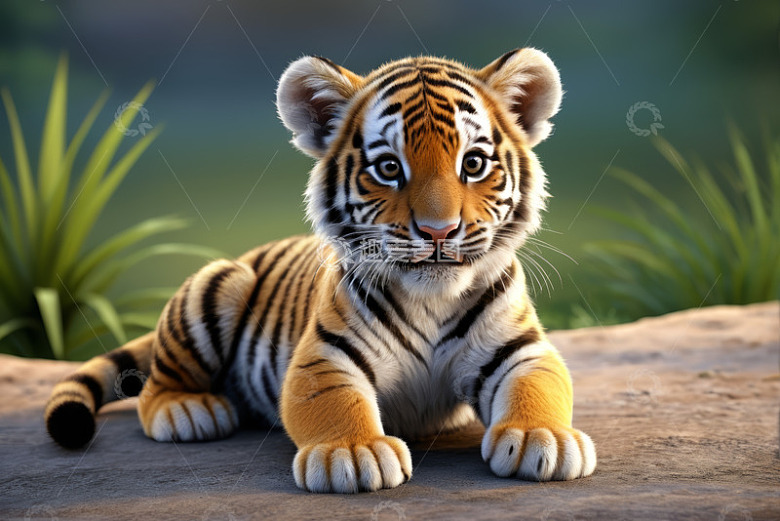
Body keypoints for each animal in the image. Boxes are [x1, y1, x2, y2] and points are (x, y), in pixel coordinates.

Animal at [44, 47, 596, 493]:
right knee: (157, 384)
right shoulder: (325, 355)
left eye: (474, 163)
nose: (439, 231)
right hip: (220, 284)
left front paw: (542, 437)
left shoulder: (521, 349)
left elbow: (539, 384)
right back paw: (188, 411)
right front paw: (352, 453)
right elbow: (334, 400)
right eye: (389, 168)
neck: (431, 300)